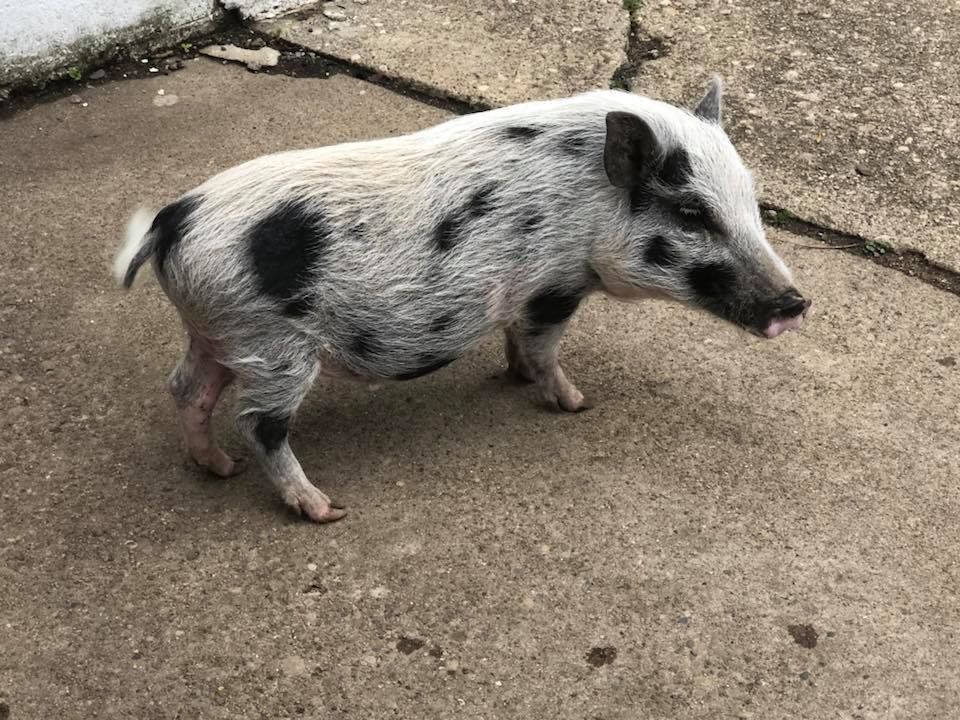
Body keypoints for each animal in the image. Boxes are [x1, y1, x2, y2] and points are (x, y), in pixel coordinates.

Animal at [112, 77, 808, 524]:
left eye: (750, 201)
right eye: (692, 215)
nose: (796, 304)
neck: (585, 201)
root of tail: (169, 226)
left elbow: (517, 340)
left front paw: (517, 377)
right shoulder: (554, 285)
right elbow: (543, 346)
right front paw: (576, 403)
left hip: (217, 333)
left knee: (186, 388)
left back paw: (218, 468)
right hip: (272, 345)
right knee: (259, 423)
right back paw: (325, 510)